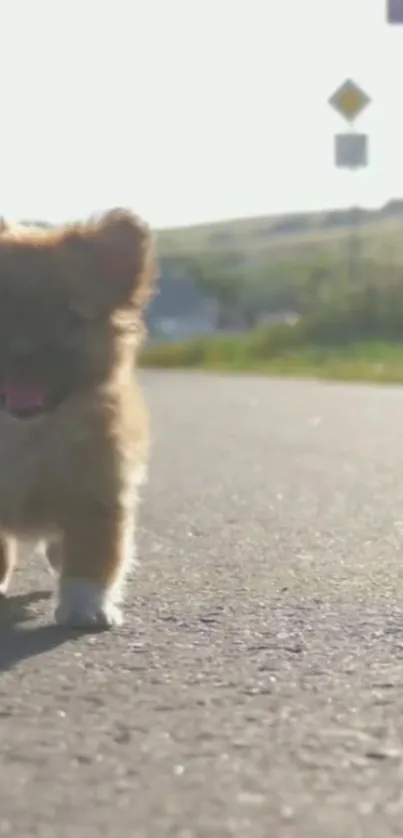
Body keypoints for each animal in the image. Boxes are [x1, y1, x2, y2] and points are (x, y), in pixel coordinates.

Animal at [0, 208, 157, 632]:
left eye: (69, 315)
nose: (19, 351)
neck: (26, 434)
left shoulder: (97, 495)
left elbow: (93, 557)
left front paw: (87, 606)